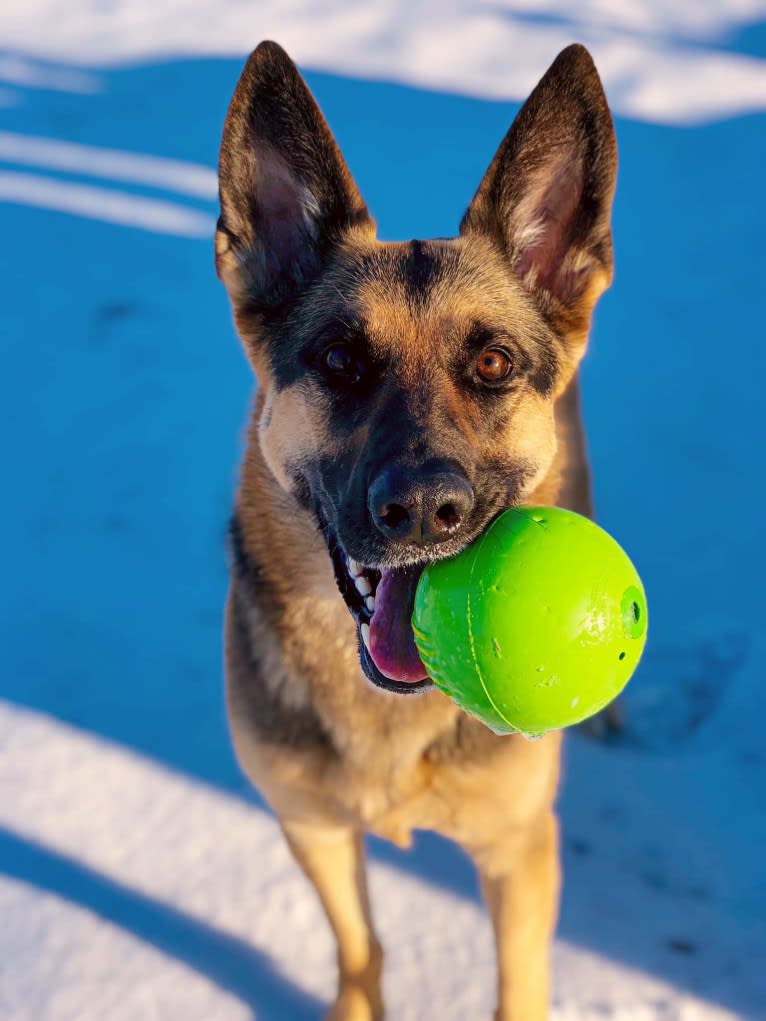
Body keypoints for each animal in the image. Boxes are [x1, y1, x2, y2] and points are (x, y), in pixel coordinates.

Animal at [214, 39, 616, 1021]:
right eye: (339, 360)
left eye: (494, 363)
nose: (426, 511)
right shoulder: (312, 827)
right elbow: (360, 945)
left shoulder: (519, 854)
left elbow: (519, 986)